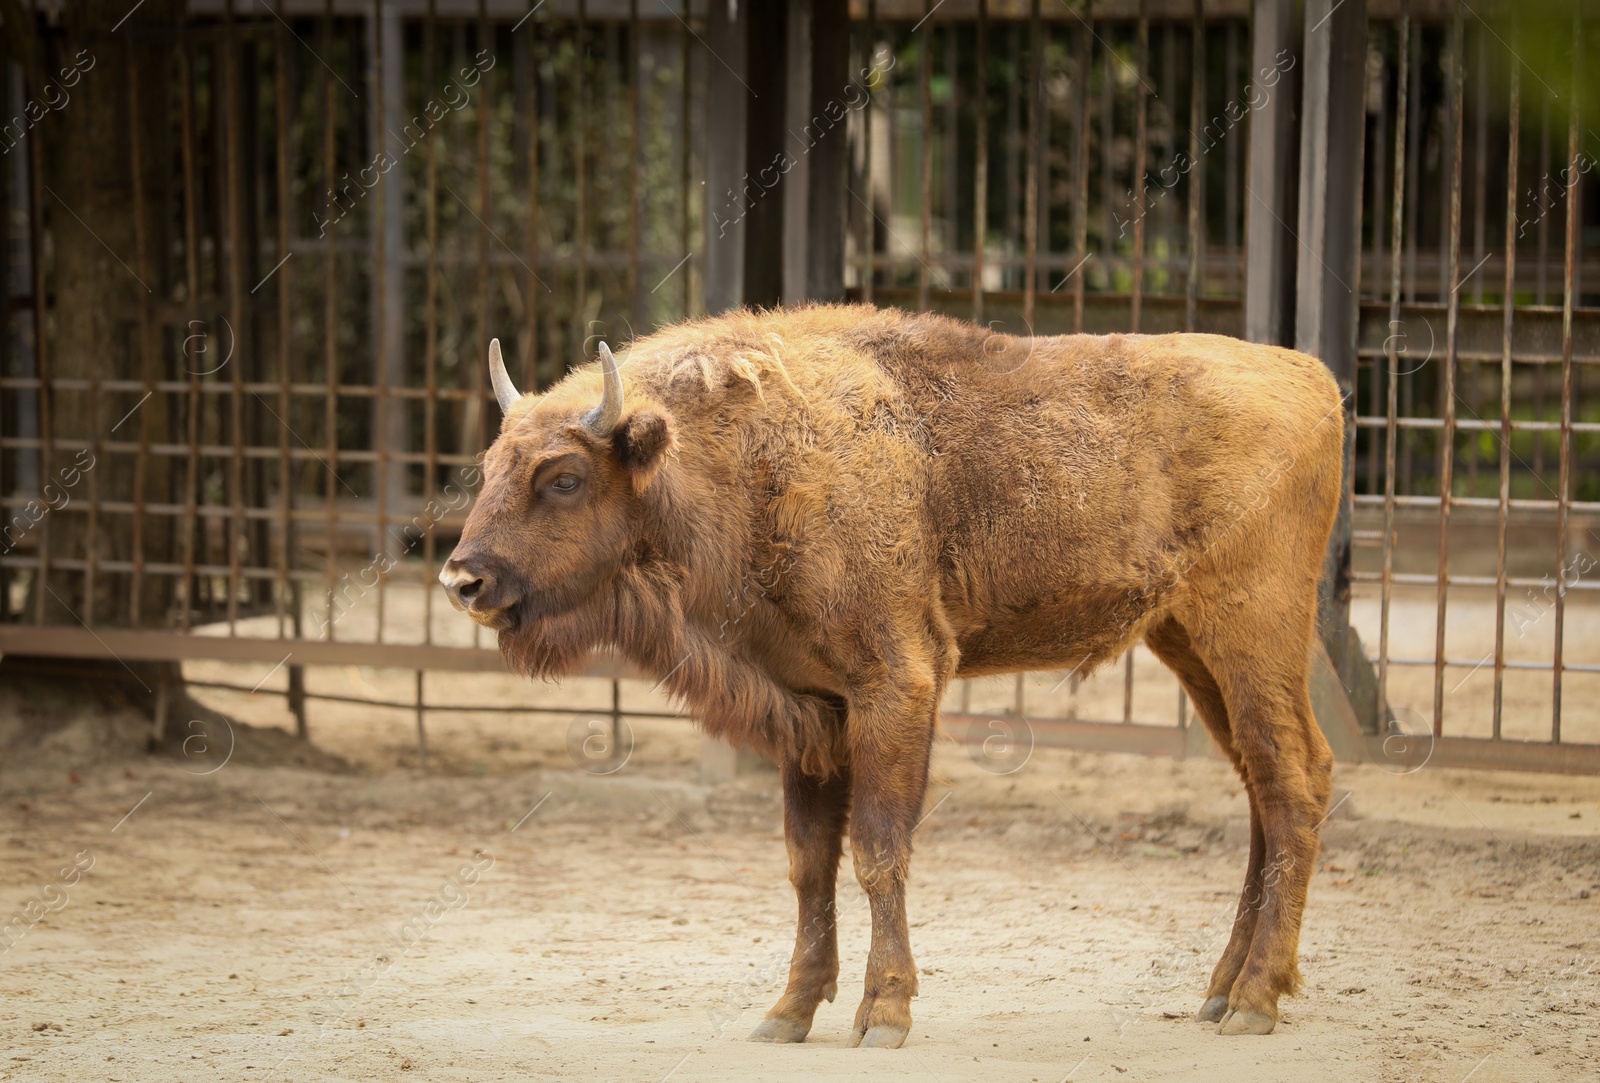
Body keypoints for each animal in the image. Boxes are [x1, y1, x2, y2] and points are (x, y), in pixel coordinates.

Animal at [444, 299, 1344, 1043]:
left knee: (1294, 781)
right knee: (1264, 791)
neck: (747, 454)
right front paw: (788, 1012)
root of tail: (1314, 378)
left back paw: (1255, 1000)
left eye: (563, 477)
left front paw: (884, 1012)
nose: (463, 580)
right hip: (1190, 645)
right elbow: (809, 861)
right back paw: (1222, 990)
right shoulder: (811, 709)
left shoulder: (897, 686)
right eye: (490, 468)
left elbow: (878, 848)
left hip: (1251, 634)